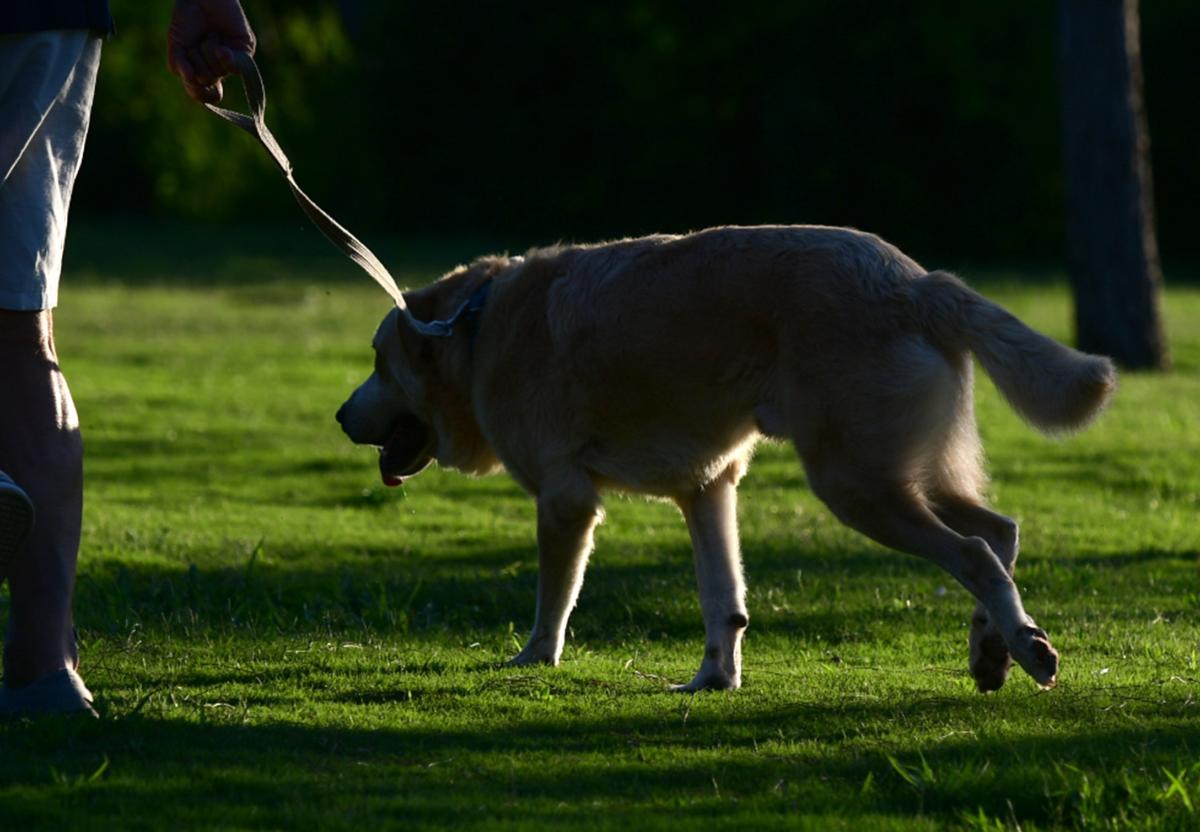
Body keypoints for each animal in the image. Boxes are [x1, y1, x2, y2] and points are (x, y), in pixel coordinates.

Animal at [336, 224, 1113, 691]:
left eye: (376, 359)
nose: (341, 416)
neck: (478, 328)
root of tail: (916, 282)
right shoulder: (707, 489)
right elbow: (723, 600)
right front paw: (714, 679)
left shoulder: (565, 502)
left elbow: (552, 600)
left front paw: (534, 660)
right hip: (905, 471)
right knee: (998, 532)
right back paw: (994, 648)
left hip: (857, 483)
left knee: (975, 554)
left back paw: (1024, 646)